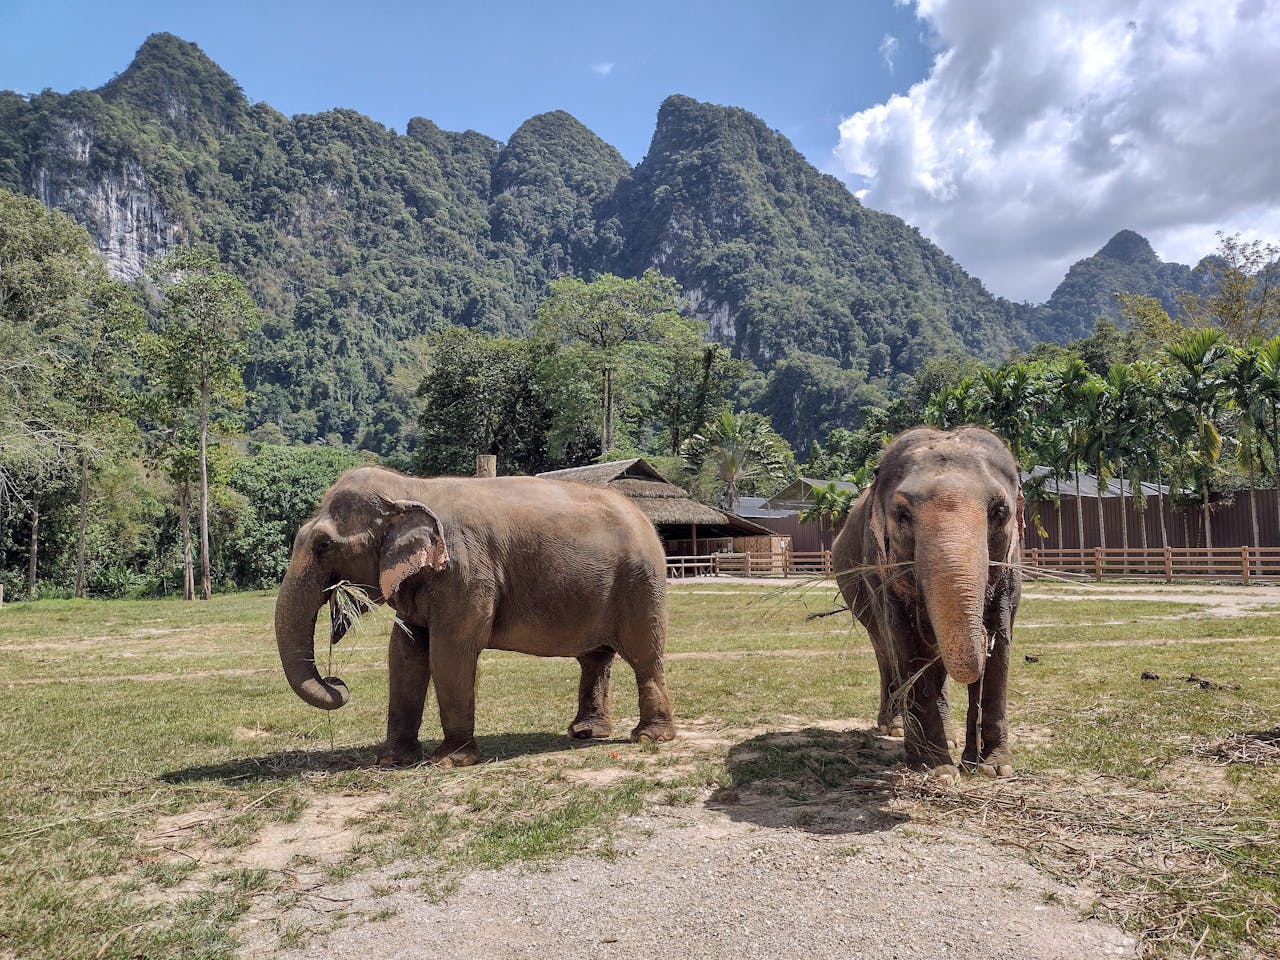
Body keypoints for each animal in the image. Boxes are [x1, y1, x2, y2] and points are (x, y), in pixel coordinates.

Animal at [274, 465, 676, 767]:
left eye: (324, 545)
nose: (338, 682)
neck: (412, 487)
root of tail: (645, 517)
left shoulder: (466, 572)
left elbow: (449, 652)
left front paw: (449, 761)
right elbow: (404, 654)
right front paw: (390, 760)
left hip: (641, 584)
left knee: (643, 655)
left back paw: (649, 738)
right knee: (595, 659)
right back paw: (585, 733)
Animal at [832, 426, 1022, 784]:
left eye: (999, 512)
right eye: (903, 514)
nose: (982, 636)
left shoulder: (1012, 564)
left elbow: (1002, 640)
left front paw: (993, 767)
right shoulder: (879, 569)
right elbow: (905, 643)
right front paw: (936, 769)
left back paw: (948, 738)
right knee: (885, 650)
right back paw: (894, 726)